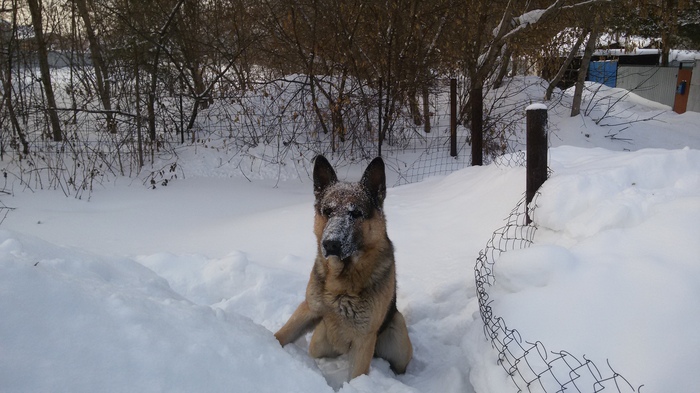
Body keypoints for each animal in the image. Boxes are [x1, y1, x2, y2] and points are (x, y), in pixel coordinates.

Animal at [276, 155, 412, 378]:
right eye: (328, 211)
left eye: (355, 213)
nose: (331, 244)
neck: (340, 281)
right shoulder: (309, 309)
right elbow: (282, 334)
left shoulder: (364, 339)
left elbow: (357, 377)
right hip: (319, 342)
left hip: (398, 336)